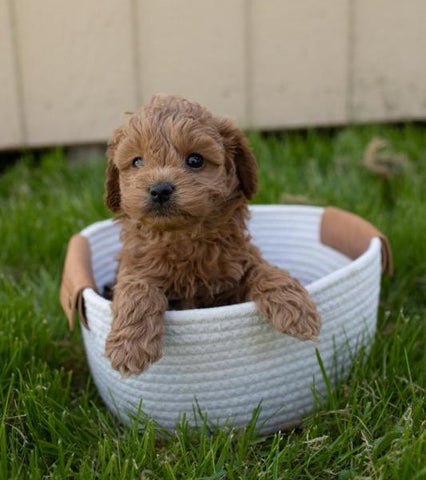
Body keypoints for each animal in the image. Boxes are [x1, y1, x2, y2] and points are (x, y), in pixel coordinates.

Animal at [105, 94, 322, 376]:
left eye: (195, 160)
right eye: (137, 161)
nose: (160, 189)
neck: (183, 238)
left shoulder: (238, 265)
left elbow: (266, 271)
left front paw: (296, 309)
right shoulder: (135, 265)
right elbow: (137, 288)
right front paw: (130, 347)